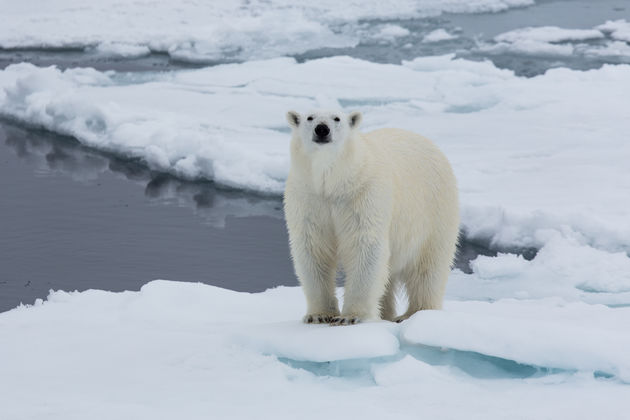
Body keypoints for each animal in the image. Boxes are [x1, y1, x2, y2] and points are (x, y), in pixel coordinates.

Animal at [286, 109, 460, 324]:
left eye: (337, 118)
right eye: (310, 117)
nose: (322, 129)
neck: (335, 183)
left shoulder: (362, 195)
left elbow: (364, 245)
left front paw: (352, 317)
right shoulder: (309, 198)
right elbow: (313, 248)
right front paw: (319, 315)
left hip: (435, 210)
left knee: (428, 268)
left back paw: (414, 313)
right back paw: (386, 314)